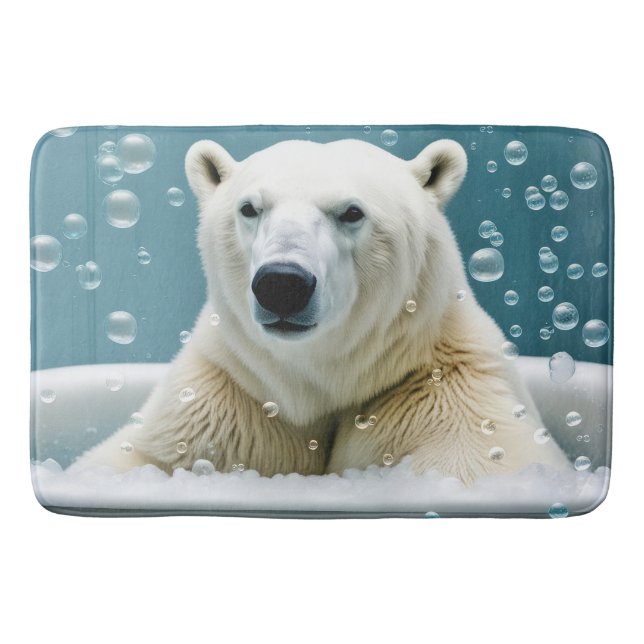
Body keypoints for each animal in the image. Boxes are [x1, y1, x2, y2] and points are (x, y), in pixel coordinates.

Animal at [75, 137, 571, 483]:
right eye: (249, 208)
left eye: (352, 212)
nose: (282, 284)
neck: (320, 378)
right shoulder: (234, 391)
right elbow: (143, 458)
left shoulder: (437, 389)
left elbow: (483, 460)